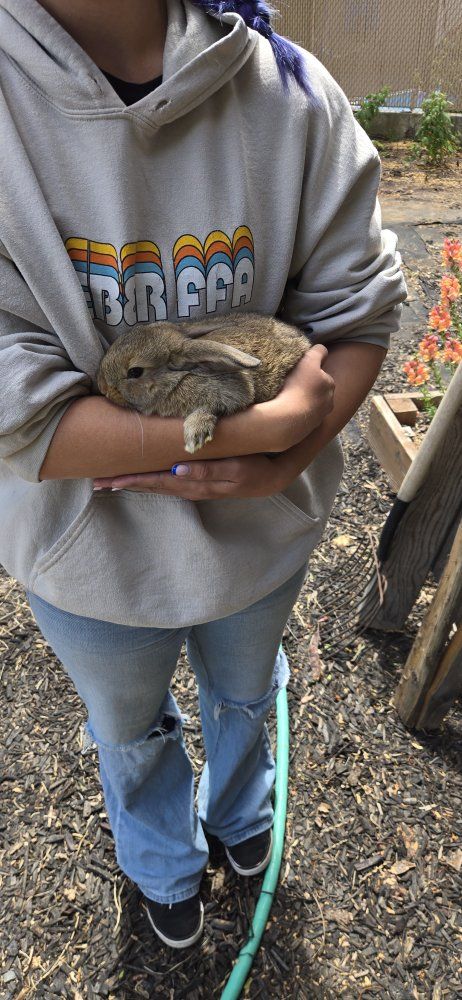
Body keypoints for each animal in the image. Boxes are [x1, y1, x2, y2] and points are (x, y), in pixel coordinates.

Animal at [97, 312, 310, 453]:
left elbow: (212, 406)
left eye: (135, 372)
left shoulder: (232, 392)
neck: (180, 377)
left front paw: (195, 436)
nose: (103, 388)